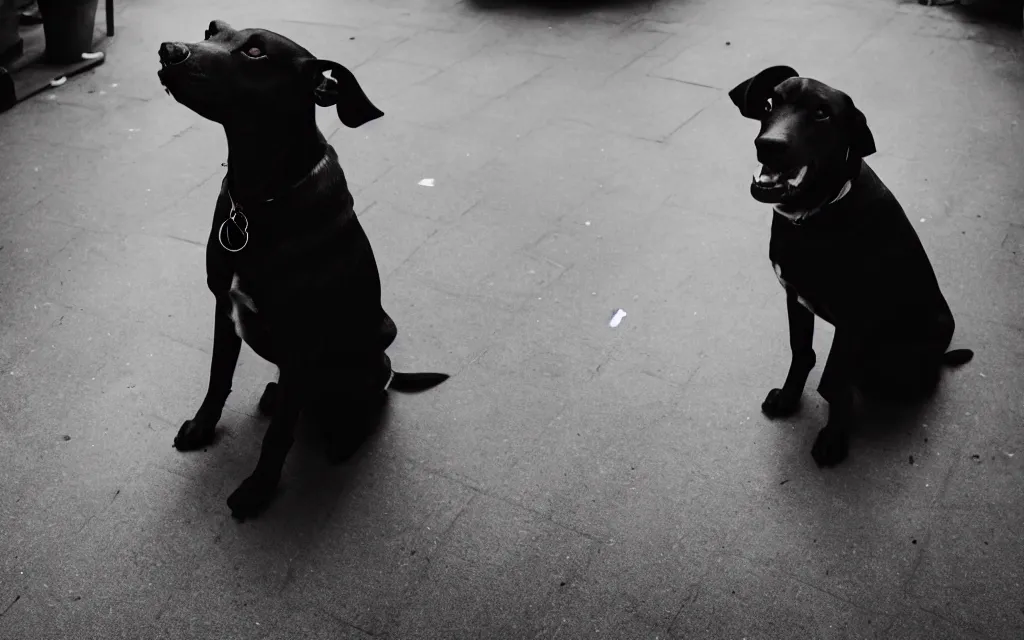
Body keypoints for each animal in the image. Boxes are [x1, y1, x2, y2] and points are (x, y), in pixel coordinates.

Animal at [159, 19, 448, 520]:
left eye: (256, 52)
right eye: (211, 30)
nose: (167, 50)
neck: (258, 198)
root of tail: (389, 368)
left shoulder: (302, 344)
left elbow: (278, 436)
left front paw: (257, 490)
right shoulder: (223, 309)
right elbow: (218, 379)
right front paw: (201, 428)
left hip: (364, 357)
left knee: (369, 400)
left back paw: (345, 434)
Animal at [729, 67, 974, 466]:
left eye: (822, 114)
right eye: (769, 103)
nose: (769, 144)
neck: (814, 218)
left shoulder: (854, 319)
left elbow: (833, 382)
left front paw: (833, 438)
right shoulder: (795, 298)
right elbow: (803, 354)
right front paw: (788, 399)